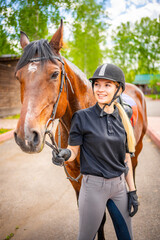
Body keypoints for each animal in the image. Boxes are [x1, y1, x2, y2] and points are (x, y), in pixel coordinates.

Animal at [14, 20, 147, 238]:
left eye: (54, 74)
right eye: (18, 77)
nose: (26, 136)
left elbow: (101, 219)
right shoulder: (77, 182)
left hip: (137, 148)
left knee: (132, 169)